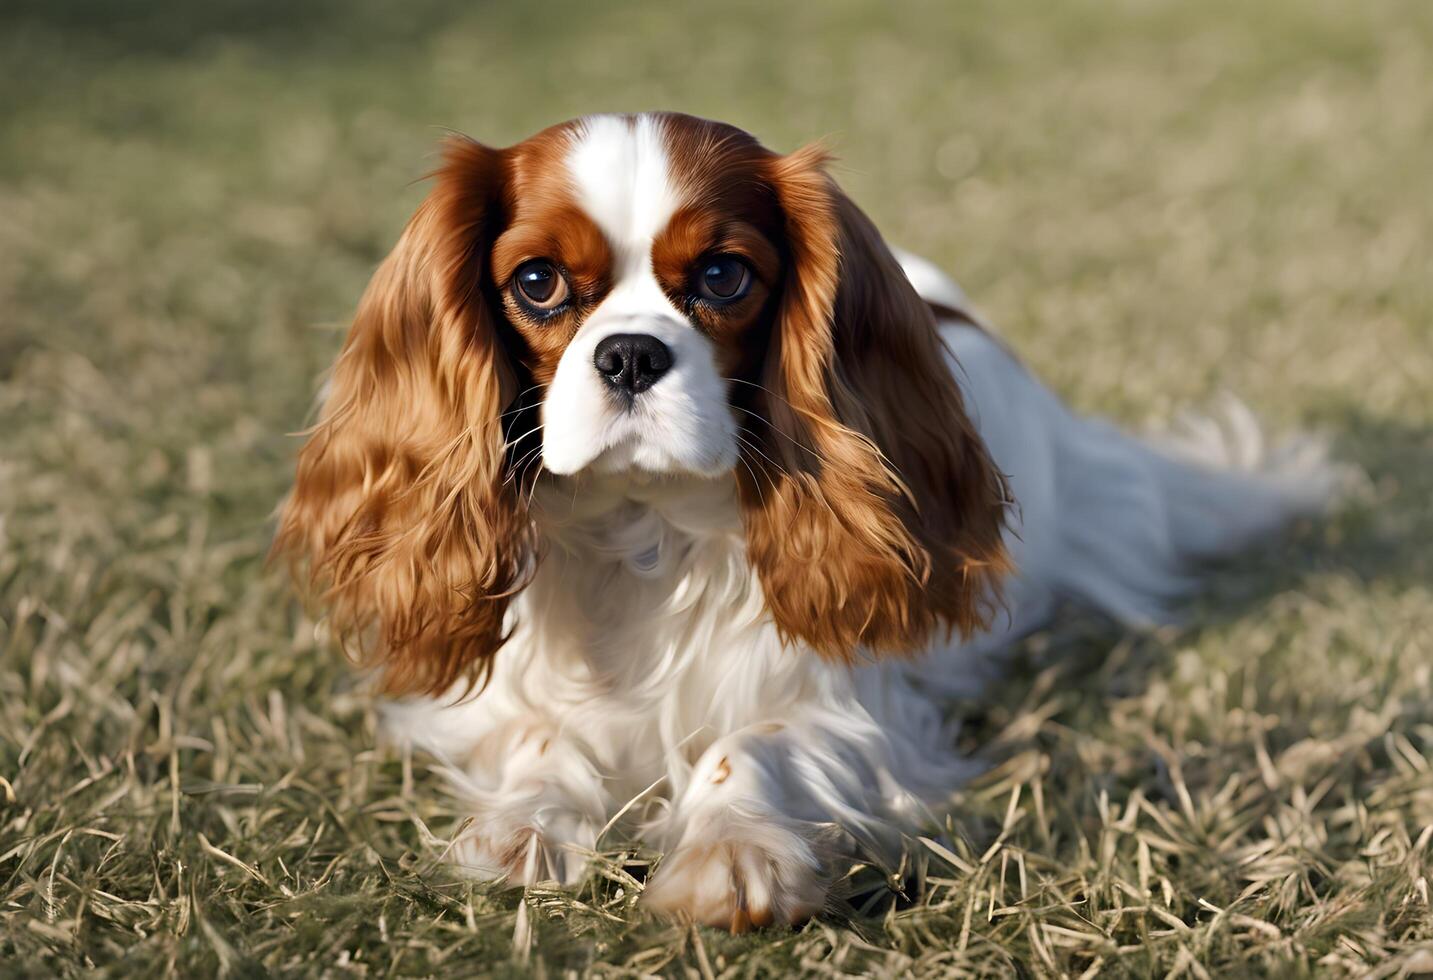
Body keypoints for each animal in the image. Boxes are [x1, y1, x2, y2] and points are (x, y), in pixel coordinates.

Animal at [270, 113, 1341, 928]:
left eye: (722, 277)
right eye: (536, 281)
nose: (628, 355)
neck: (644, 528)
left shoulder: (856, 704)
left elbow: (754, 742)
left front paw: (734, 854)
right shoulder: (492, 700)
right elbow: (540, 740)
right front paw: (520, 829)